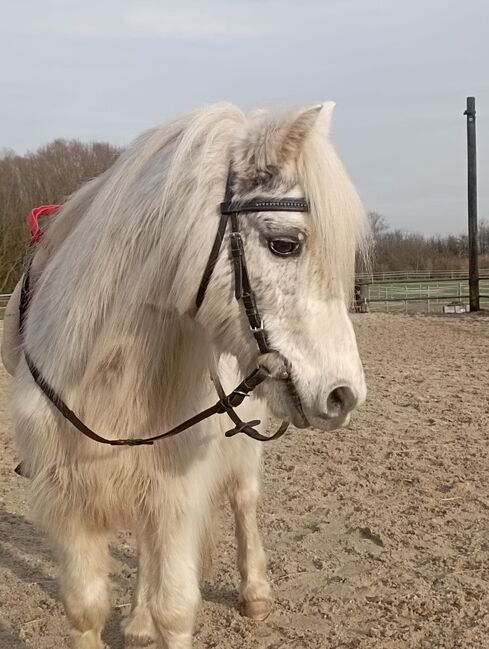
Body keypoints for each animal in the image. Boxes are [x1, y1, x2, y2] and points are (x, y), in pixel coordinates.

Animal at [2, 102, 366, 648]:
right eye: (285, 244)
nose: (345, 394)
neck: (105, 370)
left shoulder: (176, 497)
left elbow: (175, 609)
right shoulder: (70, 502)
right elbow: (85, 608)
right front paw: (132, 619)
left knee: (243, 502)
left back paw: (253, 594)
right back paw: (137, 622)